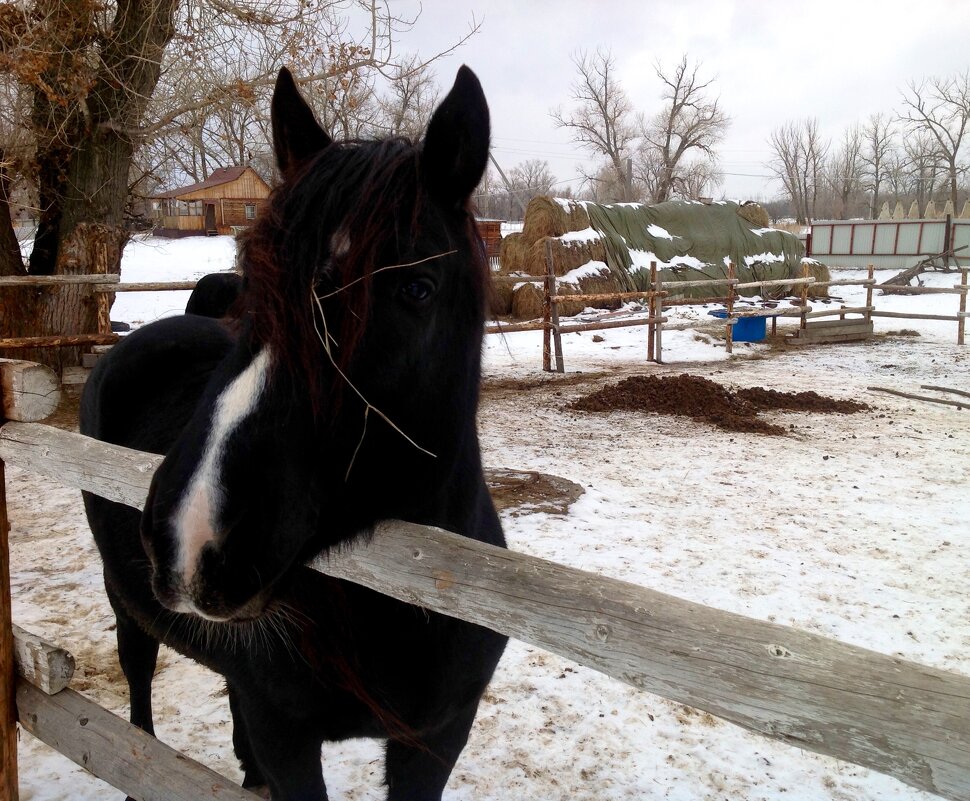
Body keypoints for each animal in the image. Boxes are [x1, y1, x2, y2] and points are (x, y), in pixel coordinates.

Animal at [81, 67, 506, 800]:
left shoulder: (437, 738)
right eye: (255, 281)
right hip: (128, 605)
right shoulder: (287, 735)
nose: (192, 535)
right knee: (138, 694)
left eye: (417, 289)